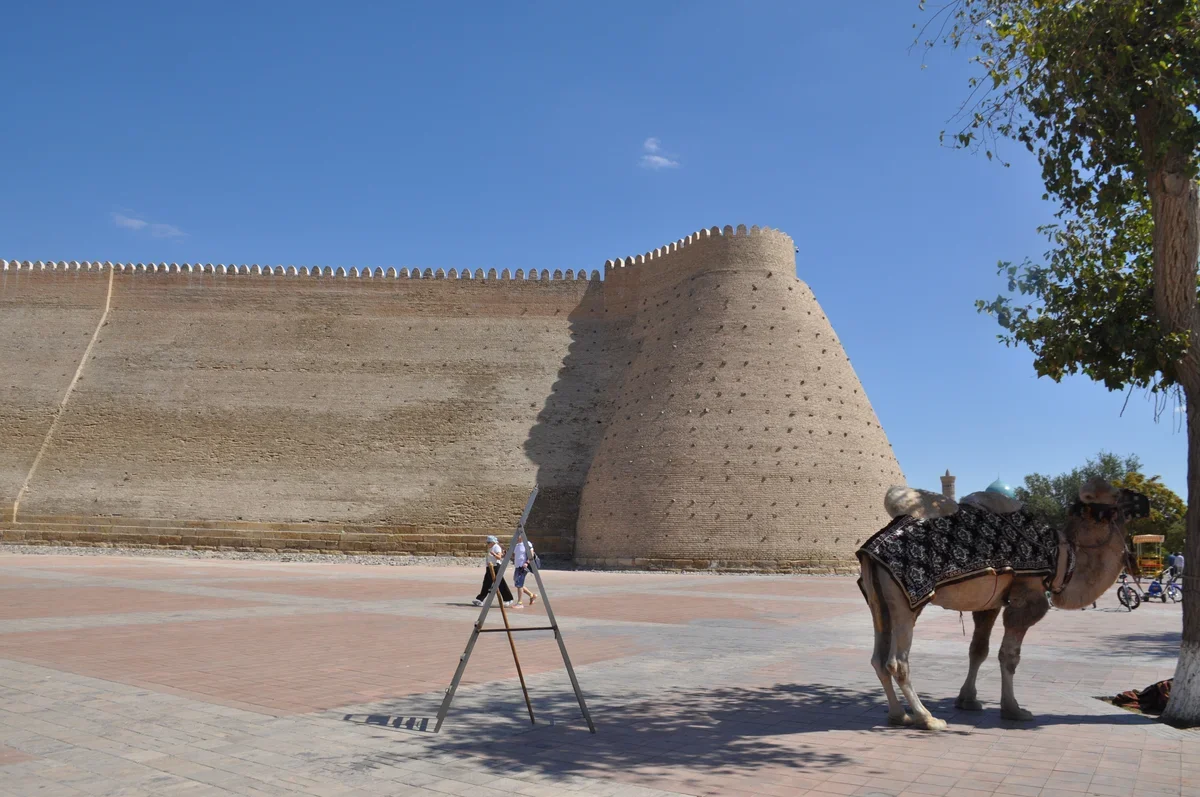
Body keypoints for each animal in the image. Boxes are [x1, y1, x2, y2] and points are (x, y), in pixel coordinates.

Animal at [859, 475, 1147, 729]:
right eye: (1115, 494)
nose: (1143, 499)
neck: (1063, 558)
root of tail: (871, 549)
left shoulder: (990, 604)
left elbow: (978, 650)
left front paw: (968, 700)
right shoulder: (1027, 600)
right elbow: (1009, 656)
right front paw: (1014, 709)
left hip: (878, 601)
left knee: (878, 659)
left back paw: (899, 715)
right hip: (907, 602)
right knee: (898, 662)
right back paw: (927, 718)